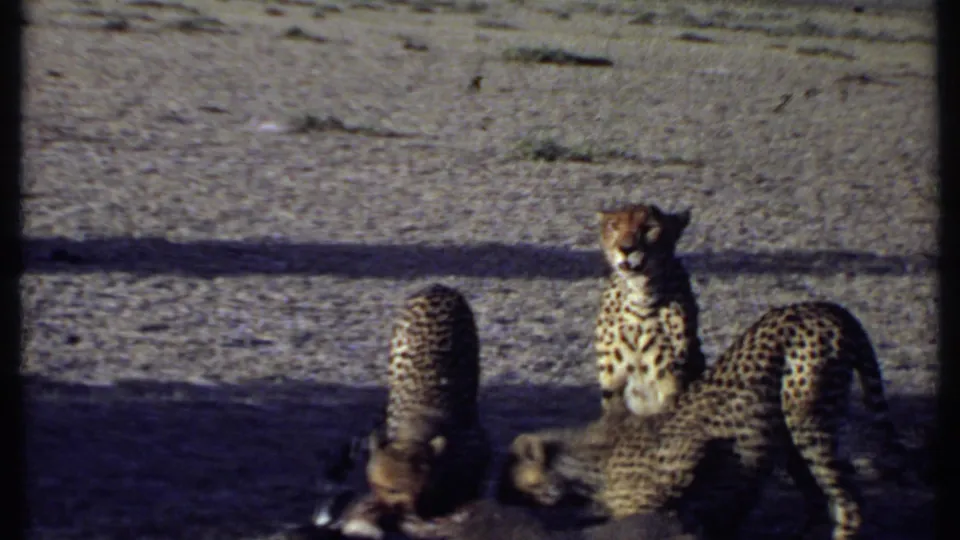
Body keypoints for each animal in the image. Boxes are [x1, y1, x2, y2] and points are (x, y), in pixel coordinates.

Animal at [497, 301, 911, 540]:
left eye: (512, 481)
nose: (501, 499)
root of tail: (826, 307)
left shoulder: (689, 455)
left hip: (806, 417)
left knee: (850, 501)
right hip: (794, 435)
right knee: (818, 498)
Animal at [594, 203, 707, 417]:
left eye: (649, 228)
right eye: (614, 226)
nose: (626, 248)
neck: (641, 293)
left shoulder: (671, 383)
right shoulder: (612, 383)